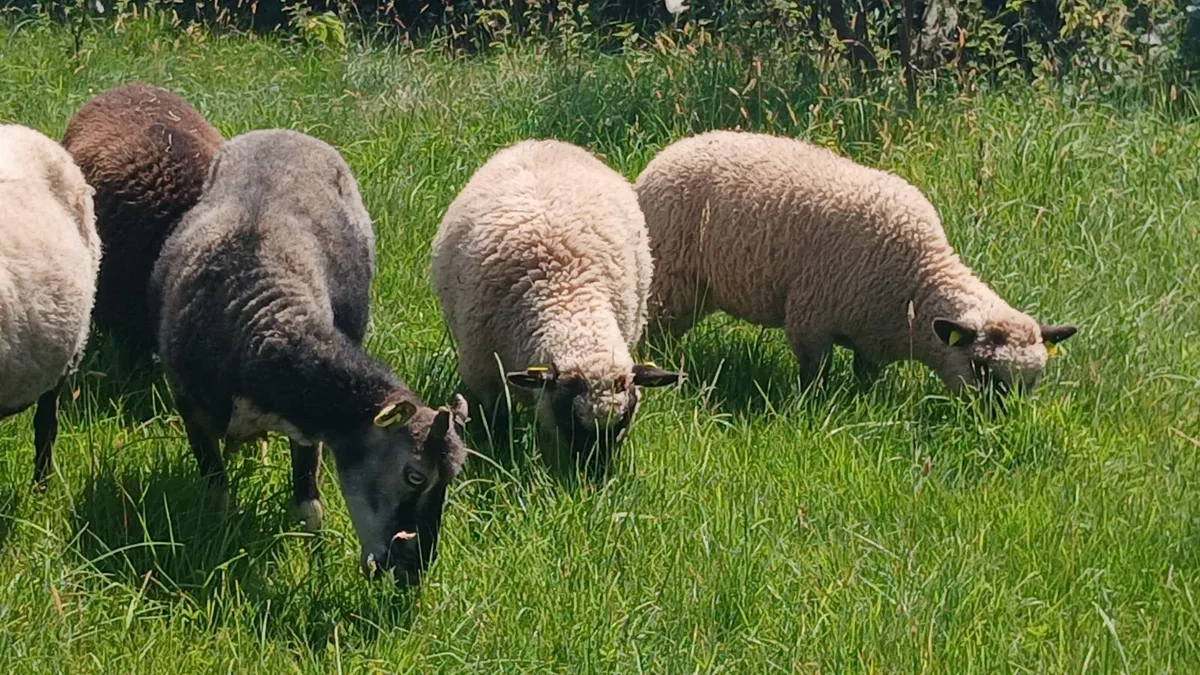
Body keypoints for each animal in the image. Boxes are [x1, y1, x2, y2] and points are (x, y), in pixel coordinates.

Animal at [150, 129, 469, 584]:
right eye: (414, 475)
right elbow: (217, 493)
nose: (413, 570)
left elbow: (308, 508)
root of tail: (286, 132)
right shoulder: (190, 409)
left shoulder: (308, 433)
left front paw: (315, 563)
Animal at [430, 139, 683, 461]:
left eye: (623, 420)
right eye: (569, 418)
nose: (593, 471)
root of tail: (544, 142)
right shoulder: (485, 376)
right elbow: (496, 422)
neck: (567, 296)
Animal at [635, 130, 1077, 395]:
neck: (918, 280)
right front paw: (811, 404)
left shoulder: (872, 338)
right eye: (983, 368)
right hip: (671, 279)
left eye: (1033, 381)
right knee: (655, 328)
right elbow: (814, 373)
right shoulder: (811, 319)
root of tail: (673, 150)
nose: (996, 424)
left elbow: (865, 378)